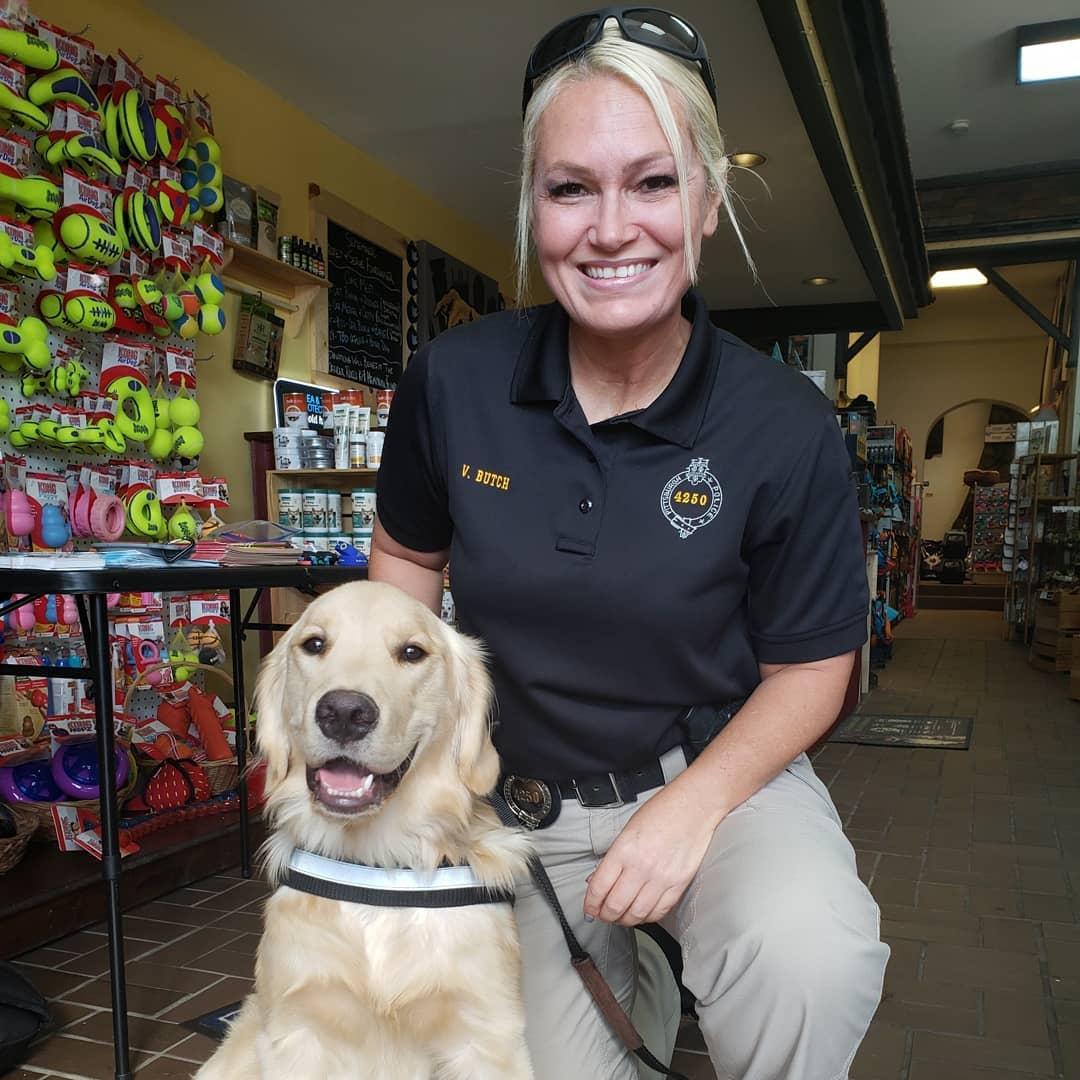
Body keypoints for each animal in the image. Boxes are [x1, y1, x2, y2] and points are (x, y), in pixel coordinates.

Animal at [196, 587, 533, 1075]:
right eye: (314, 644)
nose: (344, 711)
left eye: (412, 652)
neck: (378, 860)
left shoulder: (488, 1037)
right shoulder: (296, 1030)